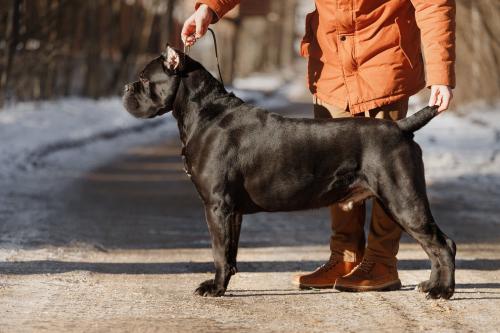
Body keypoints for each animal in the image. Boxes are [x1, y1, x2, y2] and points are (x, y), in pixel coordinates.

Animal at [123, 46, 456, 298]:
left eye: (143, 79)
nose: (126, 88)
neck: (204, 112)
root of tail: (400, 127)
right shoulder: (233, 212)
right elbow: (230, 253)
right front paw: (225, 283)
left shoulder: (217, 206)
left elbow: (218, 251)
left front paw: (214, 288)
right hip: (397, 201)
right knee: (435, 246)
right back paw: (431, 285)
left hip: (403, 199)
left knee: (442, 245)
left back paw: (441, 291)